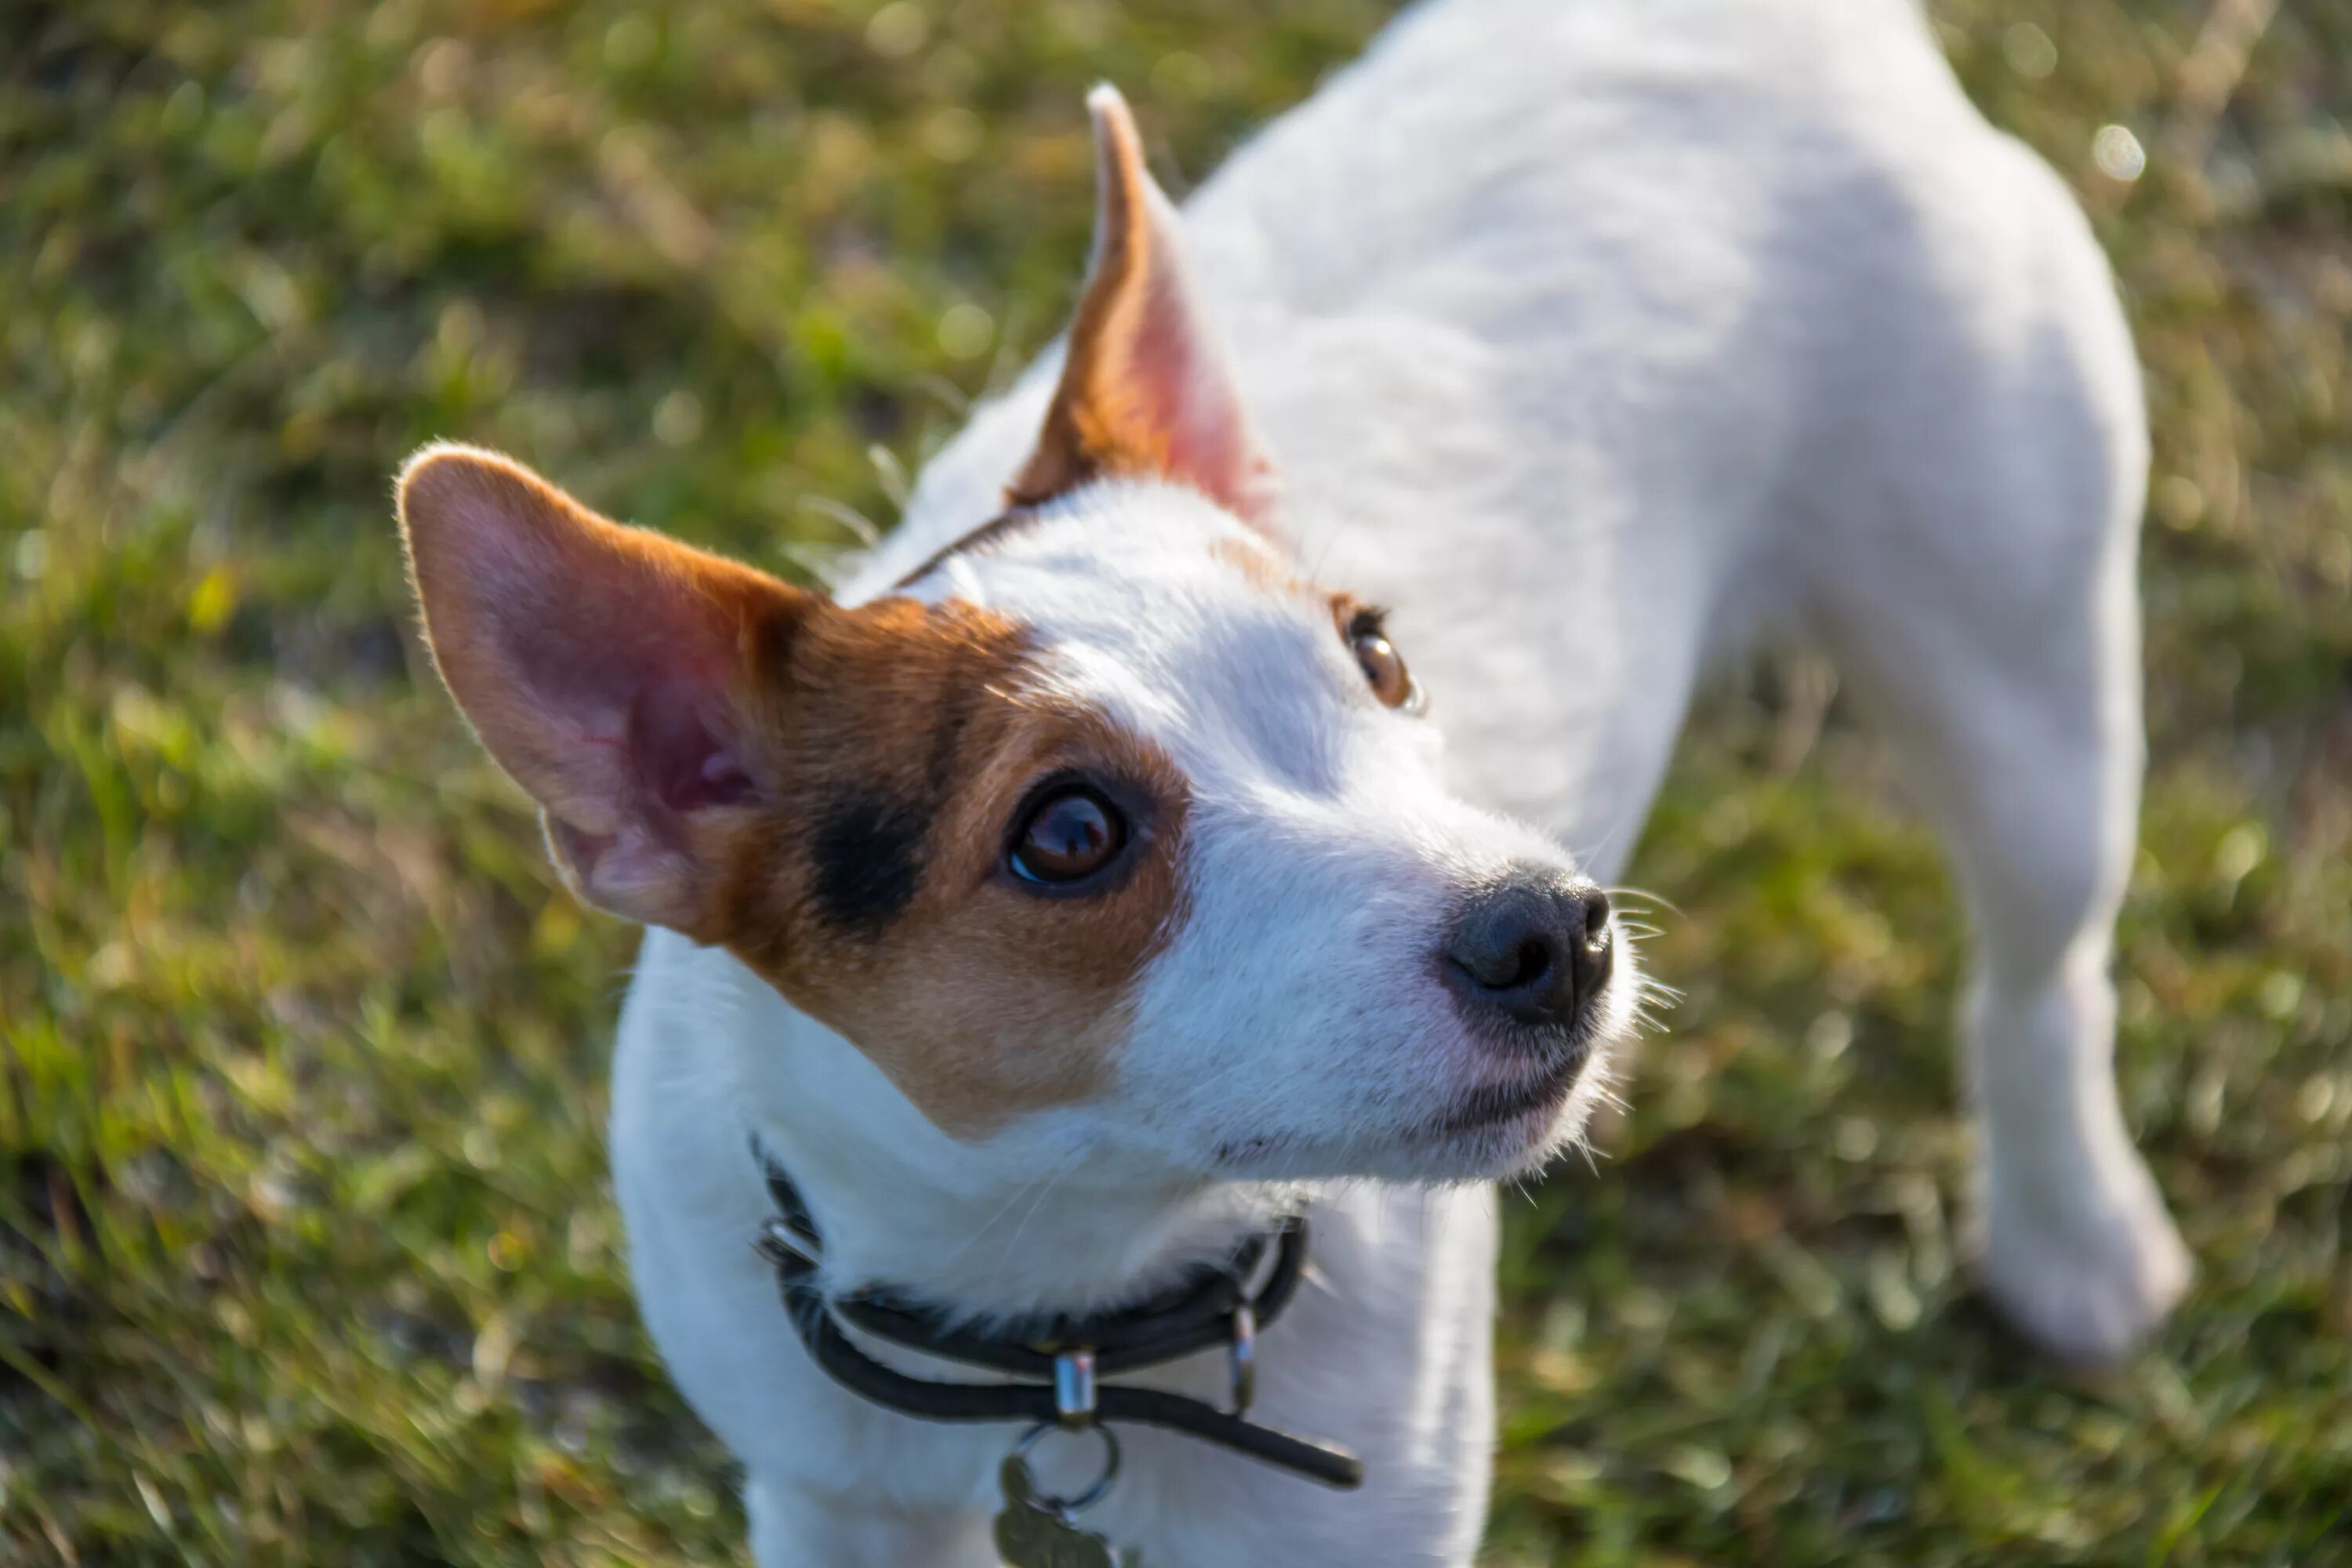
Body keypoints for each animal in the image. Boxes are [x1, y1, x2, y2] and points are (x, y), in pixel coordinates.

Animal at [400, 5, 2183, 1561]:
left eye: (1377, 655)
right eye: (1067, 834)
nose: (1554, 930)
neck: (1068, 1327)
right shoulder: (833, 1499)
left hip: (2025, 683)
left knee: (2042, 983)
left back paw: (2075, 1238)